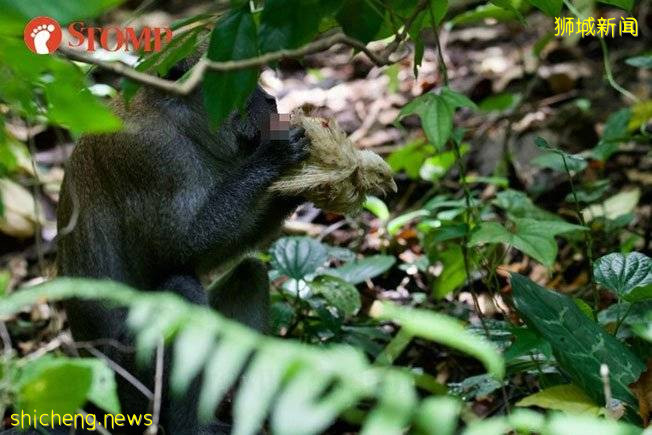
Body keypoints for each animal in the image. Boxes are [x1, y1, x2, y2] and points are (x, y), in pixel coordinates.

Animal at [56, 52, 310, 435]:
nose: (269, 100)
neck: (175, 121)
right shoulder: (153, 157)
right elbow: (178, 250)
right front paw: (274, 156)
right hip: (129, 393)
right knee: (181, 290)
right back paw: (188, 427)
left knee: (249, 274)